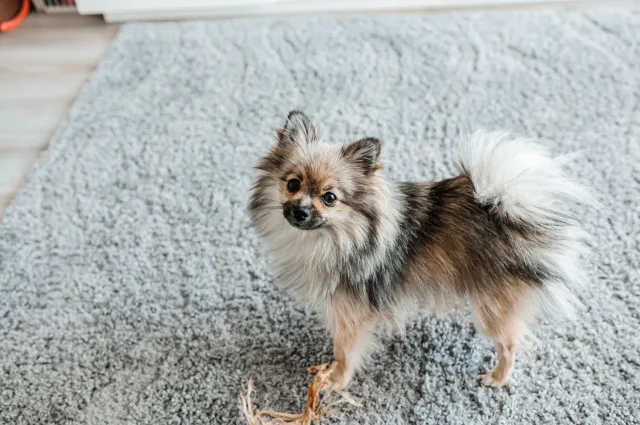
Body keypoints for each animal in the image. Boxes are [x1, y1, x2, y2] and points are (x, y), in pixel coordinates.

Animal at [250, 111, 596, 390]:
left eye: (330, 198)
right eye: (293, 184)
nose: (300, 211)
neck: (338, 237)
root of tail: (509, 209)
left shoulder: (351, 315)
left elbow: (345, 353)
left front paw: (334, 381)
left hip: (491, 308)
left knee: (511, 344)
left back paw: (497, 378)